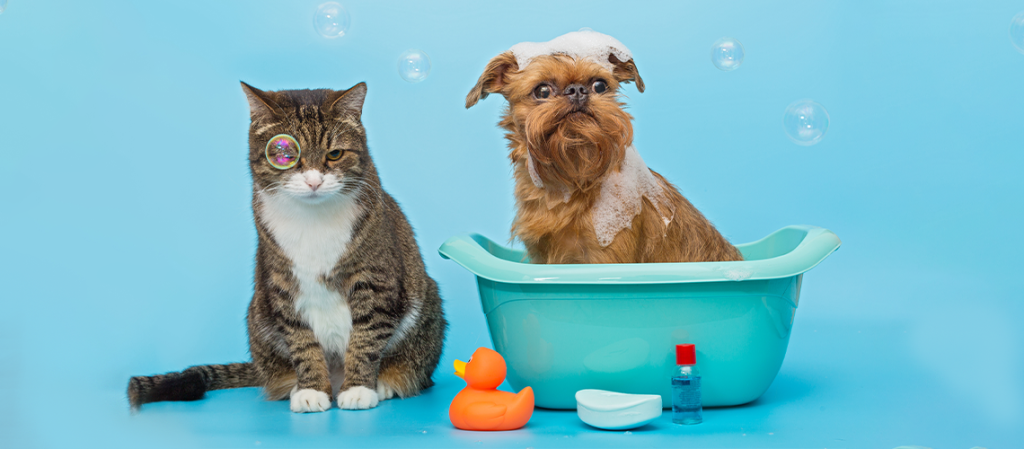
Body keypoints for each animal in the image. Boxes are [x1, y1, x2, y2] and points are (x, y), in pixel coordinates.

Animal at [125, 81, 446, 414]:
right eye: (285, 154)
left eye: (335, 154)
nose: (314, 181)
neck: (314, 221)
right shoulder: (281, 283)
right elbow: (301, 341)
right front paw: (311, 390)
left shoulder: (374, 280)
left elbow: (367, 336)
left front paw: (359, 388)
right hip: (258, 312)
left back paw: (383, 383)